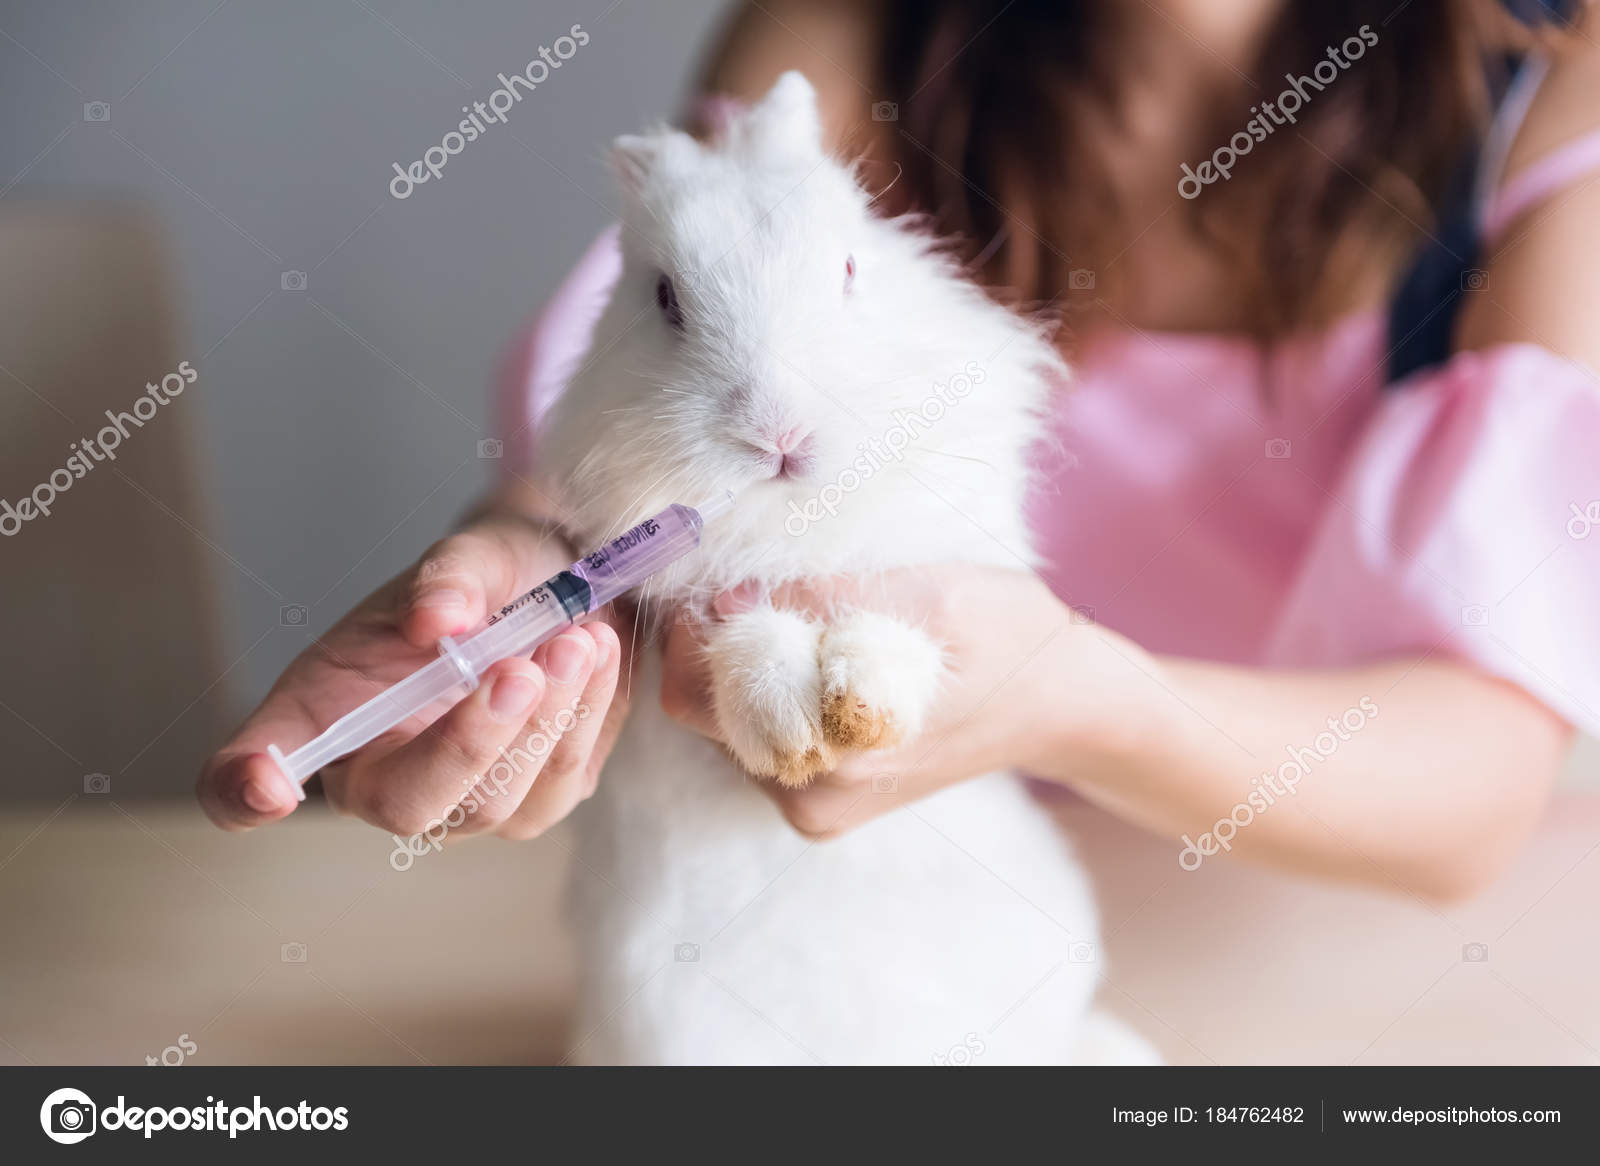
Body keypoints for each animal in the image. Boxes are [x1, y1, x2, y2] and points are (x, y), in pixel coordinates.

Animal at [532, 72, 1155, 1065]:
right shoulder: (702, 608)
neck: (797, 527)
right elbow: (746, 640)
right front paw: (791, 728)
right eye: (664, 299)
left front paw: (860, 709)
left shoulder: (927, 566)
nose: (778, 434)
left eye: (853, 270)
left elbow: (896, 630)